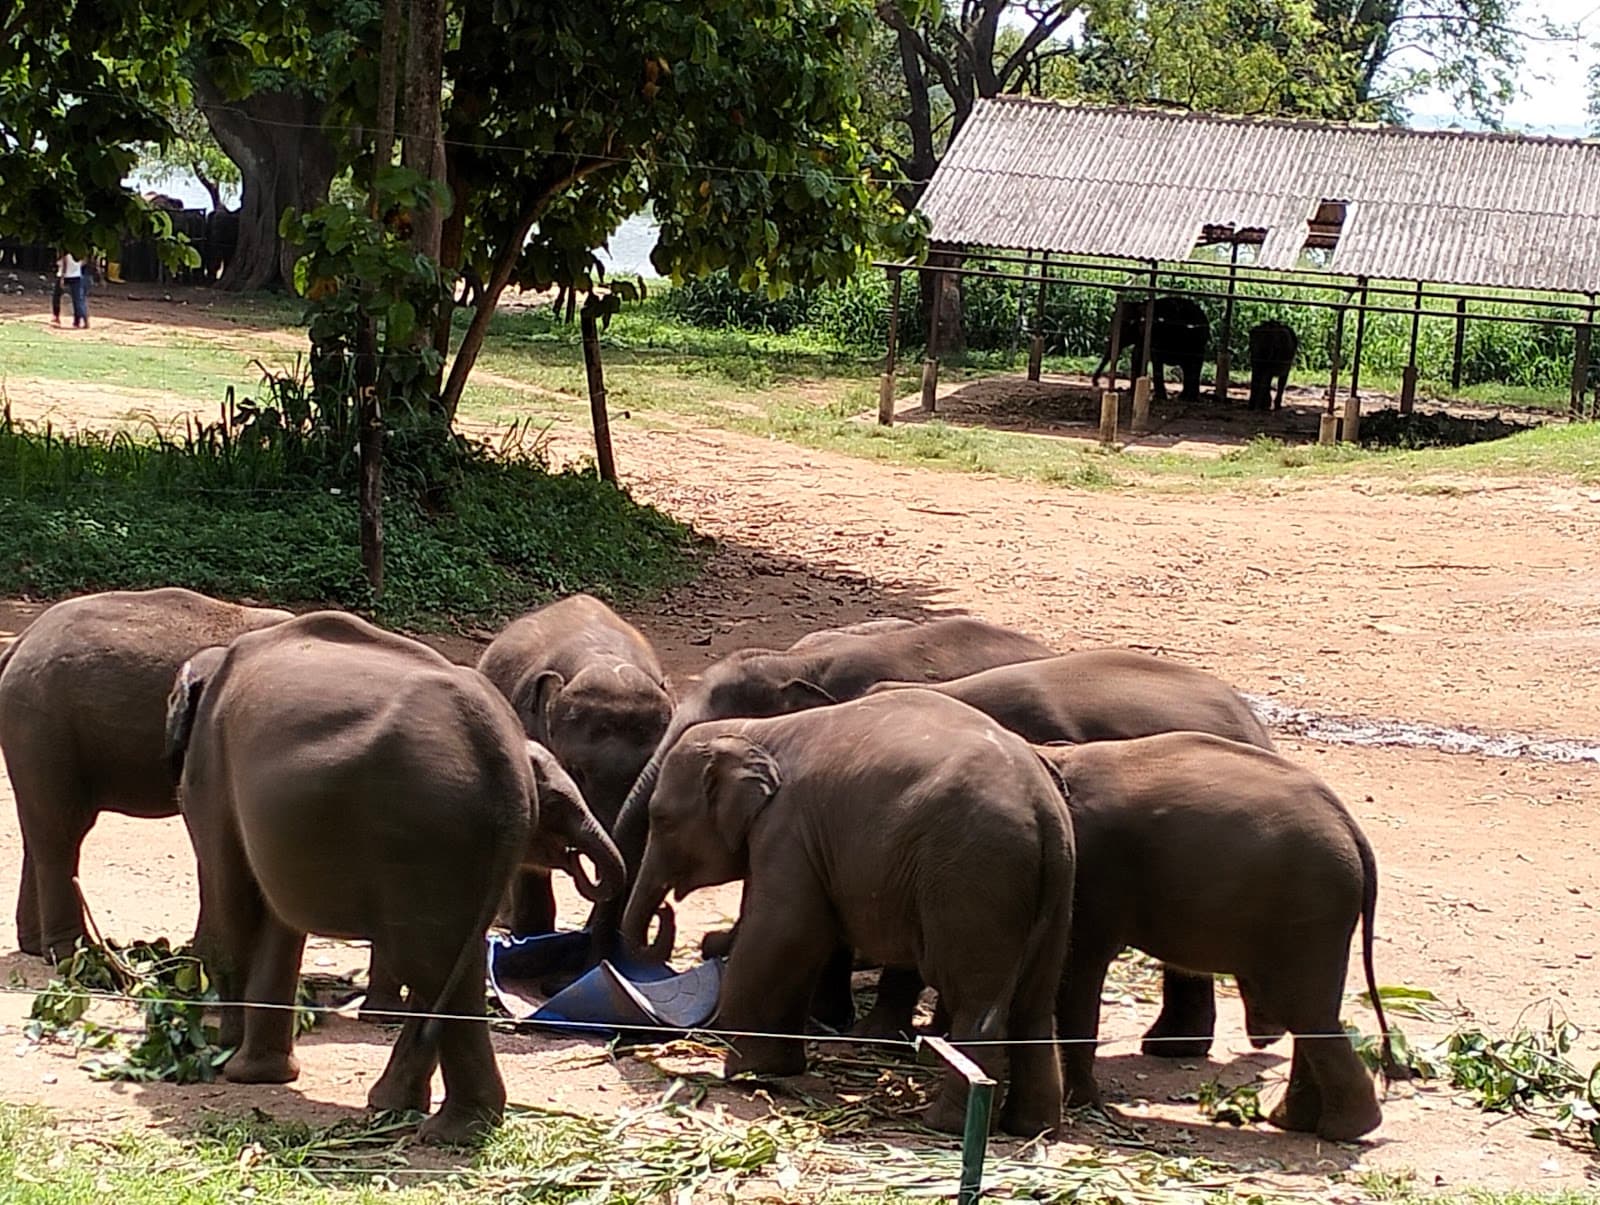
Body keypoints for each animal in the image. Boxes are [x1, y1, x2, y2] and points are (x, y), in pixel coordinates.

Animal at [0, 587, 291, 960]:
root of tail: (19, 643)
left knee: (38, 829)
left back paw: (40, 949)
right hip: (44, 725)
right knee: (61, 830)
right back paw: (76, 954)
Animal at [164, 610, 624, 1144]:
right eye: (557, 804)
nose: (585, 867)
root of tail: (506, 770)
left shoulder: (209, 770)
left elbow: (231, 910)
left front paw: (220, 1059)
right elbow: (278, 922)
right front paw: (254, 1073)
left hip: (426, 832)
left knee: (431, 965)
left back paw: (448, 1130)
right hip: (448, 845)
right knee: (447, 966)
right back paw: (414, 1113)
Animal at [620, 689, 1074, 1137]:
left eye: (661, 819)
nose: (665, 911)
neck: (757, 730)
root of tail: (1043, 808)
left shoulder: (786, 827)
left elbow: (785, 933)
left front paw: (746, 1072)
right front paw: (775, 1069)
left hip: (973, 878)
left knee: (977, 1002)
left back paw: (944, 1124)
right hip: (1053, 888)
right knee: (1035, 1003)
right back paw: (1033, 1127)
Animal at [1034, 732, 1395, 1141]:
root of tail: (1352, 830)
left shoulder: (1094, 877)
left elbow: (1078, 970)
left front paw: (1078, 1105)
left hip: (1310, 910)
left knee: (1300, 1009)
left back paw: (1341, 1130)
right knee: (1313, 1012)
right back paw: (1301, 1124)